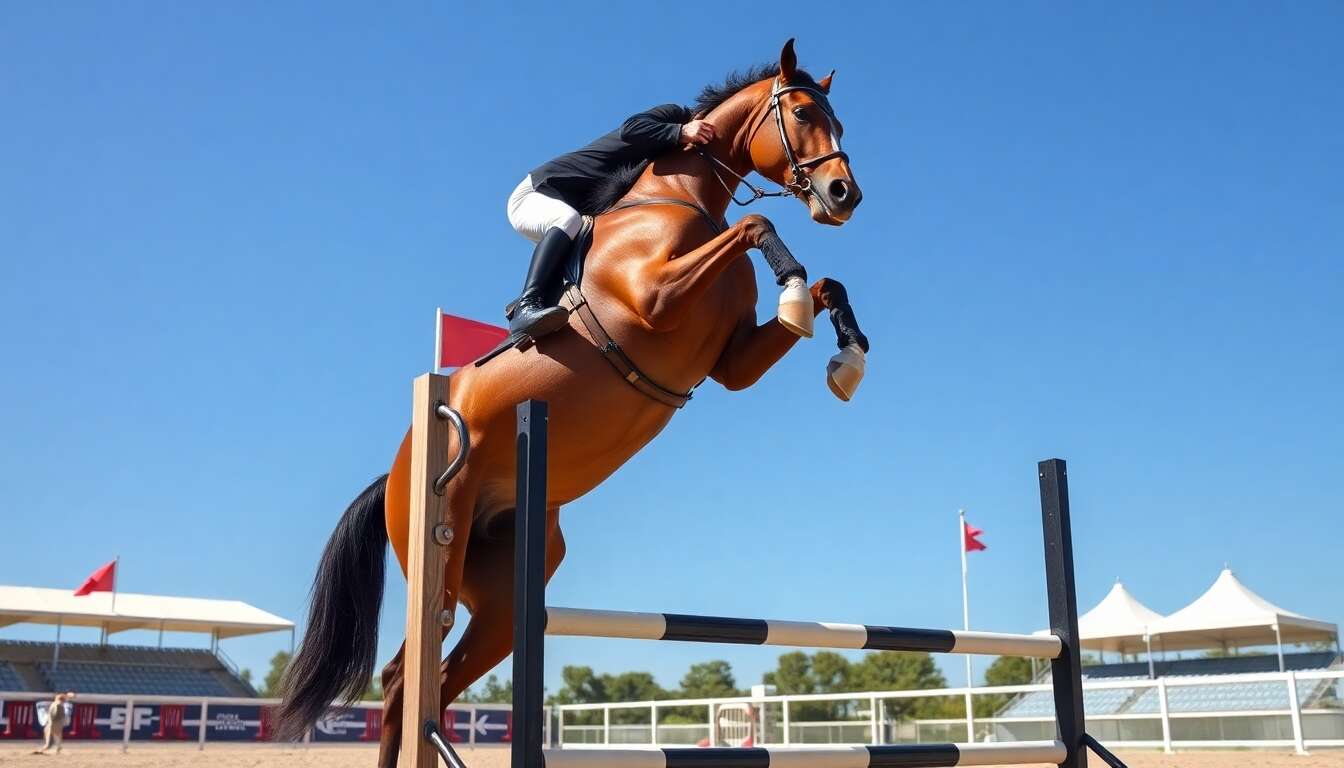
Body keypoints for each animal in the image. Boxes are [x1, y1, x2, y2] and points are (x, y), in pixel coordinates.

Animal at [275, 39, 869, 768]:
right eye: (806, 114)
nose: (845, 195)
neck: (683, 202)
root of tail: (397, 467)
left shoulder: (734, 365)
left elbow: (826, 285)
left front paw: (847, 360)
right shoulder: (656, 297)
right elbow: (759, 224)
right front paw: (793, 291)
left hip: (504, 599)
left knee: (423, 681)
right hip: (442, 541)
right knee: (405, 677)